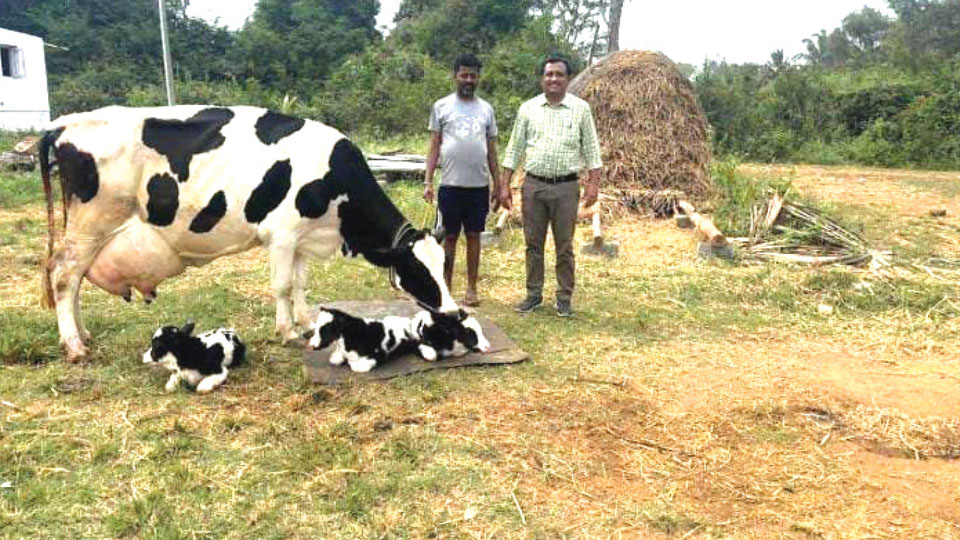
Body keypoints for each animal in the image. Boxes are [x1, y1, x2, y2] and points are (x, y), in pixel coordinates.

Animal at [37, 104, 458, 362]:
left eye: (444, 266)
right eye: (418, 270)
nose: (454, 312)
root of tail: (63, 124)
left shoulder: (303, 238)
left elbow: (300, 283)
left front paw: (306, 322)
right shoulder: (282, 233)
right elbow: (283, 286)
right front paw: (287, 331)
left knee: (72, 279)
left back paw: (82, 335)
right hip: (90, 224)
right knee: (64, 275)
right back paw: (74, 345)